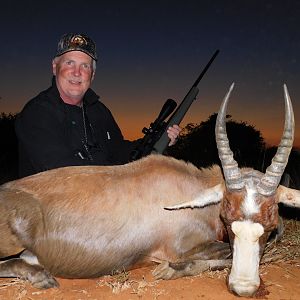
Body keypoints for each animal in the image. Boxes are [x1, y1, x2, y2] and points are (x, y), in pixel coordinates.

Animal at [0, 83, 300, 296]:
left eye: (270, 224)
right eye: (227, 218)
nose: (243, 287)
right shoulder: (180, 249)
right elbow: (220, 254)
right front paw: (168, 271)